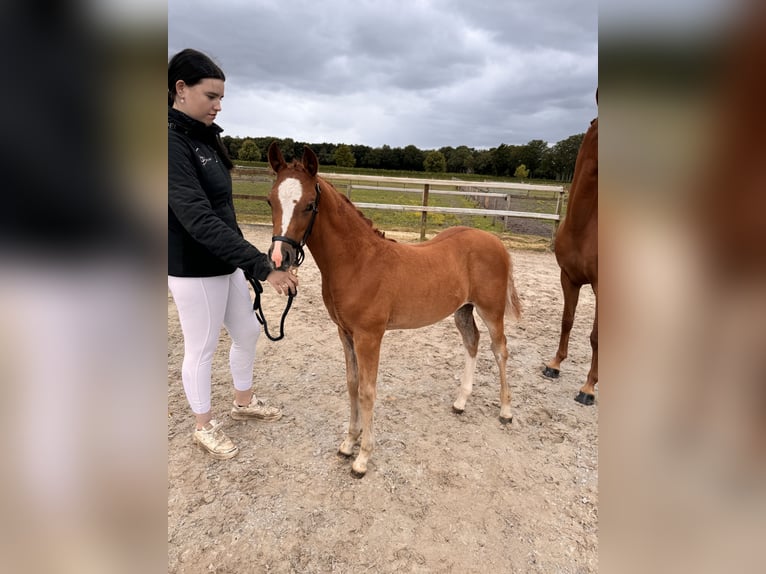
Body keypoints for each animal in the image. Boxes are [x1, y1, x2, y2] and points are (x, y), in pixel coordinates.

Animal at [268, 143, 524, 476]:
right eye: (270, 200)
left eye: (310, 205)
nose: (279, 257)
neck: (358, 262)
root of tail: (497, 242)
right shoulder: (345, 333)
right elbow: (352, 385)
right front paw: (348, 443)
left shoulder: (369, 336)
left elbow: (367, 390)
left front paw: (363, 458)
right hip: (463, 310)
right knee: (472, 342)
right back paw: (460, 402)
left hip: (491, 309)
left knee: (500, 350)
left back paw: (506, 411)